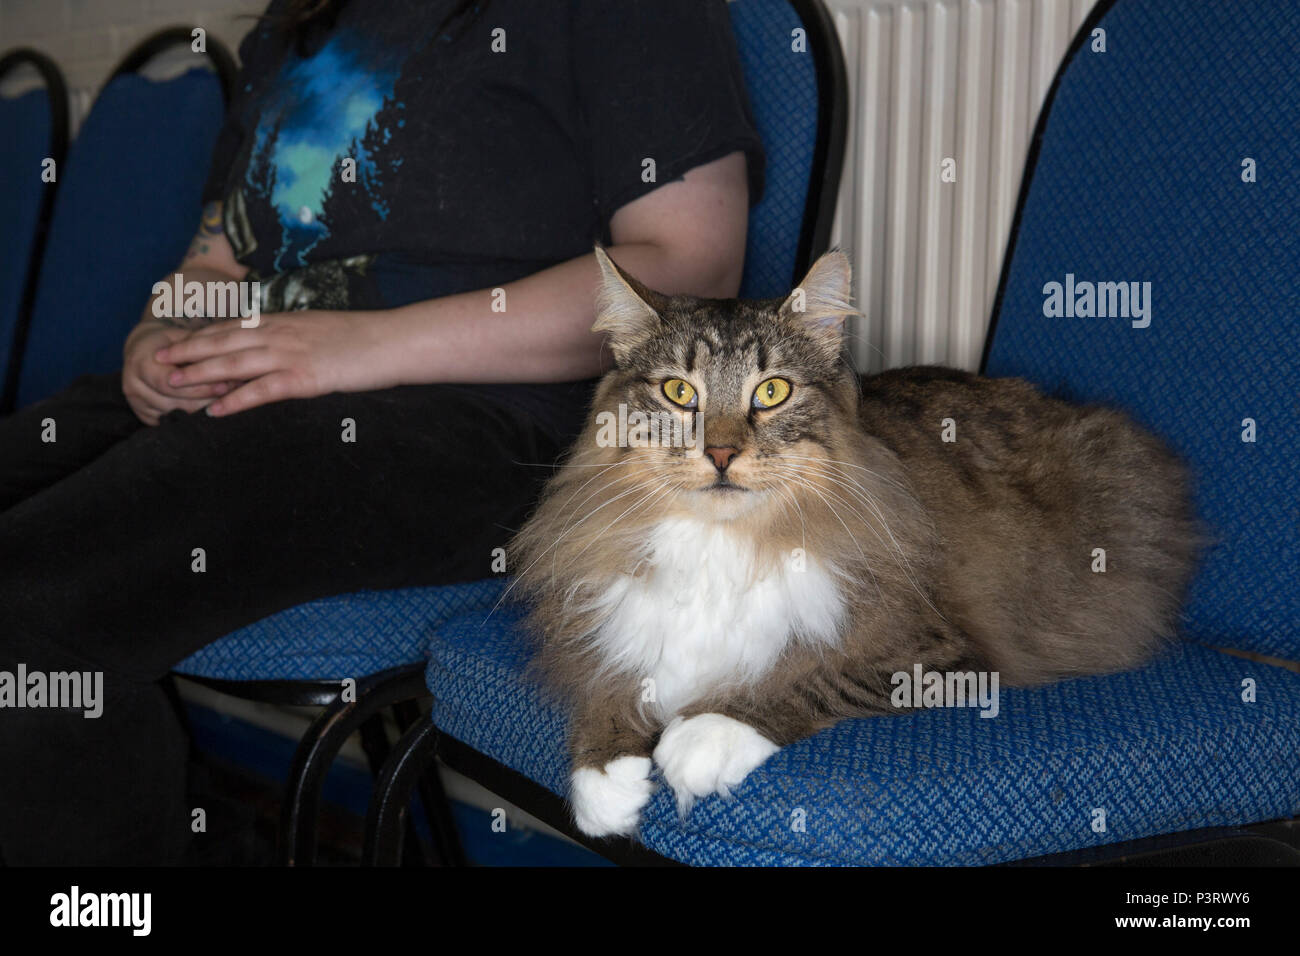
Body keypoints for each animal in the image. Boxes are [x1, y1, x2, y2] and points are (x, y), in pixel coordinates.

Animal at [506, 244, 1196, 837]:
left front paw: (701, 737)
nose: (721, 454)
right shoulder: (610, 624)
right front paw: (605, 782)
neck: (723, 542)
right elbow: (612, 684)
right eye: (680, 392)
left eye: (772, 392)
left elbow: (804, 681)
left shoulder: (944, 654)